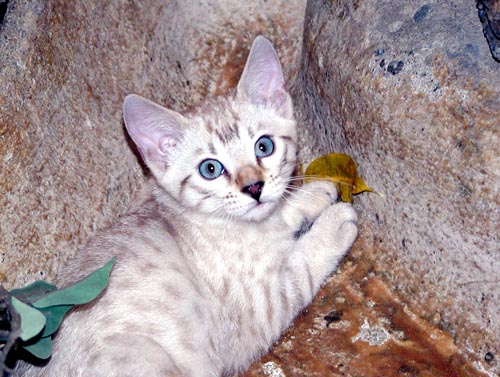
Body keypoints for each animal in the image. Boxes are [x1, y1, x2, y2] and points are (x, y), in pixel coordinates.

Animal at [17, 36, 358, 376]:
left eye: (264, 146)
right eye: (211, 169)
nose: (254, 187)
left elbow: (284, 212)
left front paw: (313, 192)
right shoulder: (261, 309)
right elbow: (302, 265)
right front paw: (334, 223)